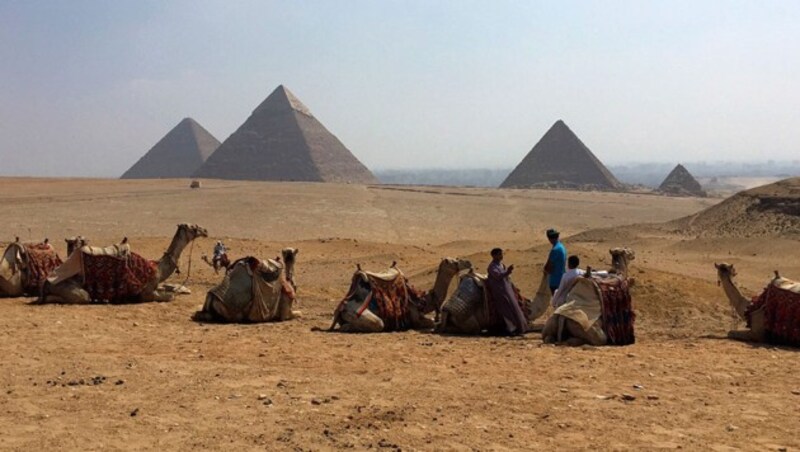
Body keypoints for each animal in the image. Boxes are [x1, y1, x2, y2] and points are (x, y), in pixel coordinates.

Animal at [37, 223, 206, 304]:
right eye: (192, 226)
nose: (205, 230)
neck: (157, 268)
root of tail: (47, 282)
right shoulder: (146, 292)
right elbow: (170, 297)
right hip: (72, 289)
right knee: (80, 297)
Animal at [328, 256, 472, 334]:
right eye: (455, 262)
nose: (468, 262)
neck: (422, 300)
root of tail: (341, 307)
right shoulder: (414, 317)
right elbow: (431, 322)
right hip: (360, 313)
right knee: (377, 324)